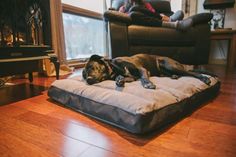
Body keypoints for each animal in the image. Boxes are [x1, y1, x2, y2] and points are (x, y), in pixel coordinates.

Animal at [82, 53, 211, 89]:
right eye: (84, 75)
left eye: (91, 67)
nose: (88, 80)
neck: (113, 68)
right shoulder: (132, 77)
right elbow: (123, 78)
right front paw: (119, 80)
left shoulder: (141, 69)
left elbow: (144, 78)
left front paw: (148, 84)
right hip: (163, 71)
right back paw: (174, 76)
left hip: (169, 65)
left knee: (191, 73)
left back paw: (205, 78)